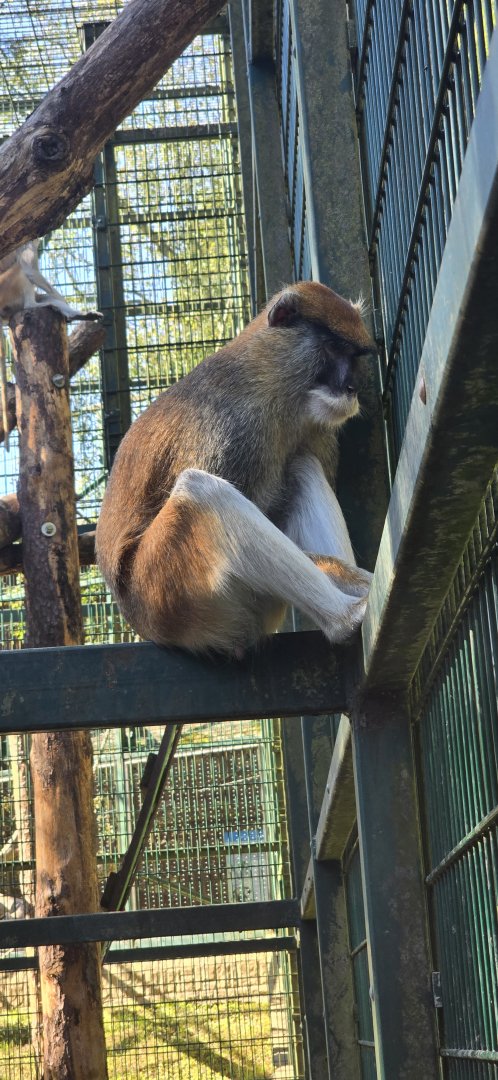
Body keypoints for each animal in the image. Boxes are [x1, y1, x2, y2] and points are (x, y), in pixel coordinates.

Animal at [96, 281, 375, 657]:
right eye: (333, 348)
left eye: (354, 356)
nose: (350, 387)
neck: (272, 379)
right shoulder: (230, 431)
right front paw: (351, 580)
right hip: (166, 594)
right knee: (199, 492)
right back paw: (346, 616)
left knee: (300, 465)